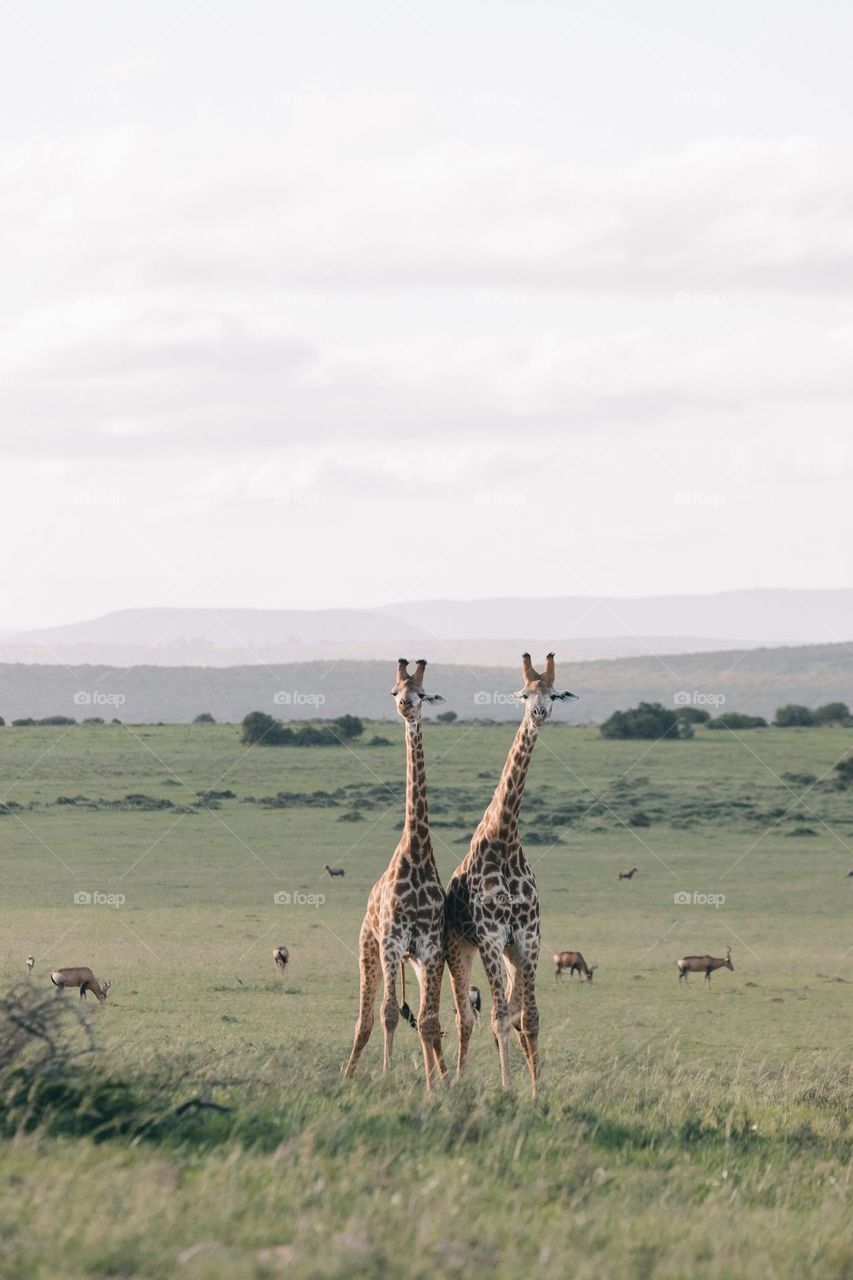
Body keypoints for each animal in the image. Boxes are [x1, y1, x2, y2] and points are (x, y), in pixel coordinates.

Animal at [445, 652, 577, 1096]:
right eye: (523, 694)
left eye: (553, 694)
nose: (538, 714)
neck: (504, 837)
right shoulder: (489, 935)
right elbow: (500, 1018)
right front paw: (506, 1087)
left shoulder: (528, 936)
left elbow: (529, 1017)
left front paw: (537, 1090)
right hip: (460, 949)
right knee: (466, 1015)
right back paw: (458, 1078)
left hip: (510, 953)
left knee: (508, 1006)